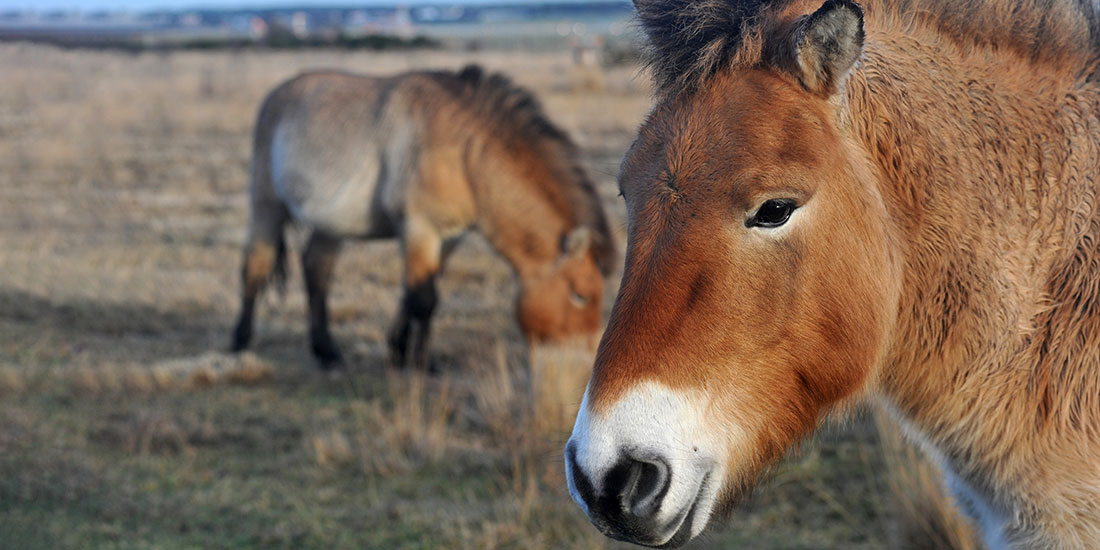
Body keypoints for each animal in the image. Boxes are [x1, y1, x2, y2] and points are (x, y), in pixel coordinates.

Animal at [229, 65, 616, 370]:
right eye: (580, 295)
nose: (588, 362)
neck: (464, 156)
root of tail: (277, 93)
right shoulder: (420, 230)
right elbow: (424, 300)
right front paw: (420, 363)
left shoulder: (449, 238)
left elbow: (417, 292)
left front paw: (399, 351)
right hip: (266, 206)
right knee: (255, 267)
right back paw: (240, 342)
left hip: (330, 224)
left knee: (316, 274)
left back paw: (327, 353)